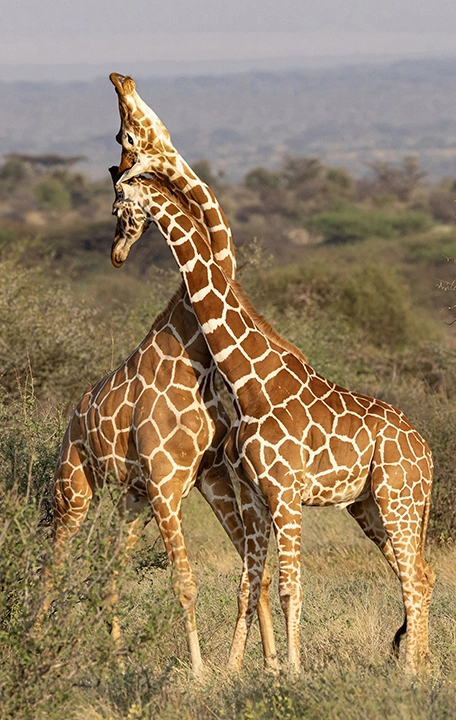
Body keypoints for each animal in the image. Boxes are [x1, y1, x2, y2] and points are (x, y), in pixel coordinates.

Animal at [111, 173, 435, 675]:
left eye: (118, 206)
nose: (118, 253)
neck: (251, 383)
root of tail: (428, 453)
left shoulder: (286, 493)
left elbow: (289, 588)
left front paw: (295, 671)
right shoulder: (258, 496)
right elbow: (250, 584)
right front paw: (236, 670)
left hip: (398, 500)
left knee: (414, 580)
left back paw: (409, 673)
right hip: (370, 506)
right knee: (421, 573)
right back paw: (421, 665)